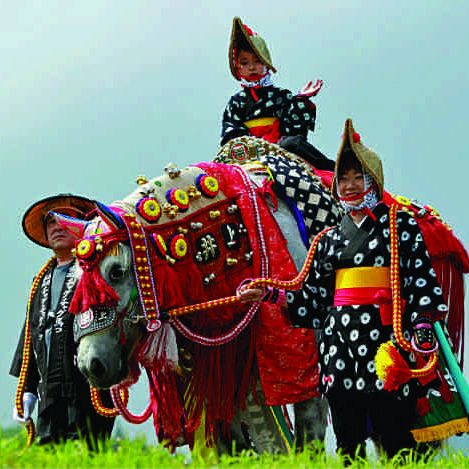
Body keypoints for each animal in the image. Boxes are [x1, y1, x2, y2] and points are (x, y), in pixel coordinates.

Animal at [54, 137, 340, 452]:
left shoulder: (307, 374)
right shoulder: (219, 377)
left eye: (116, 271)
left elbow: (306, 442)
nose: (90, 365)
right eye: (76, 281)